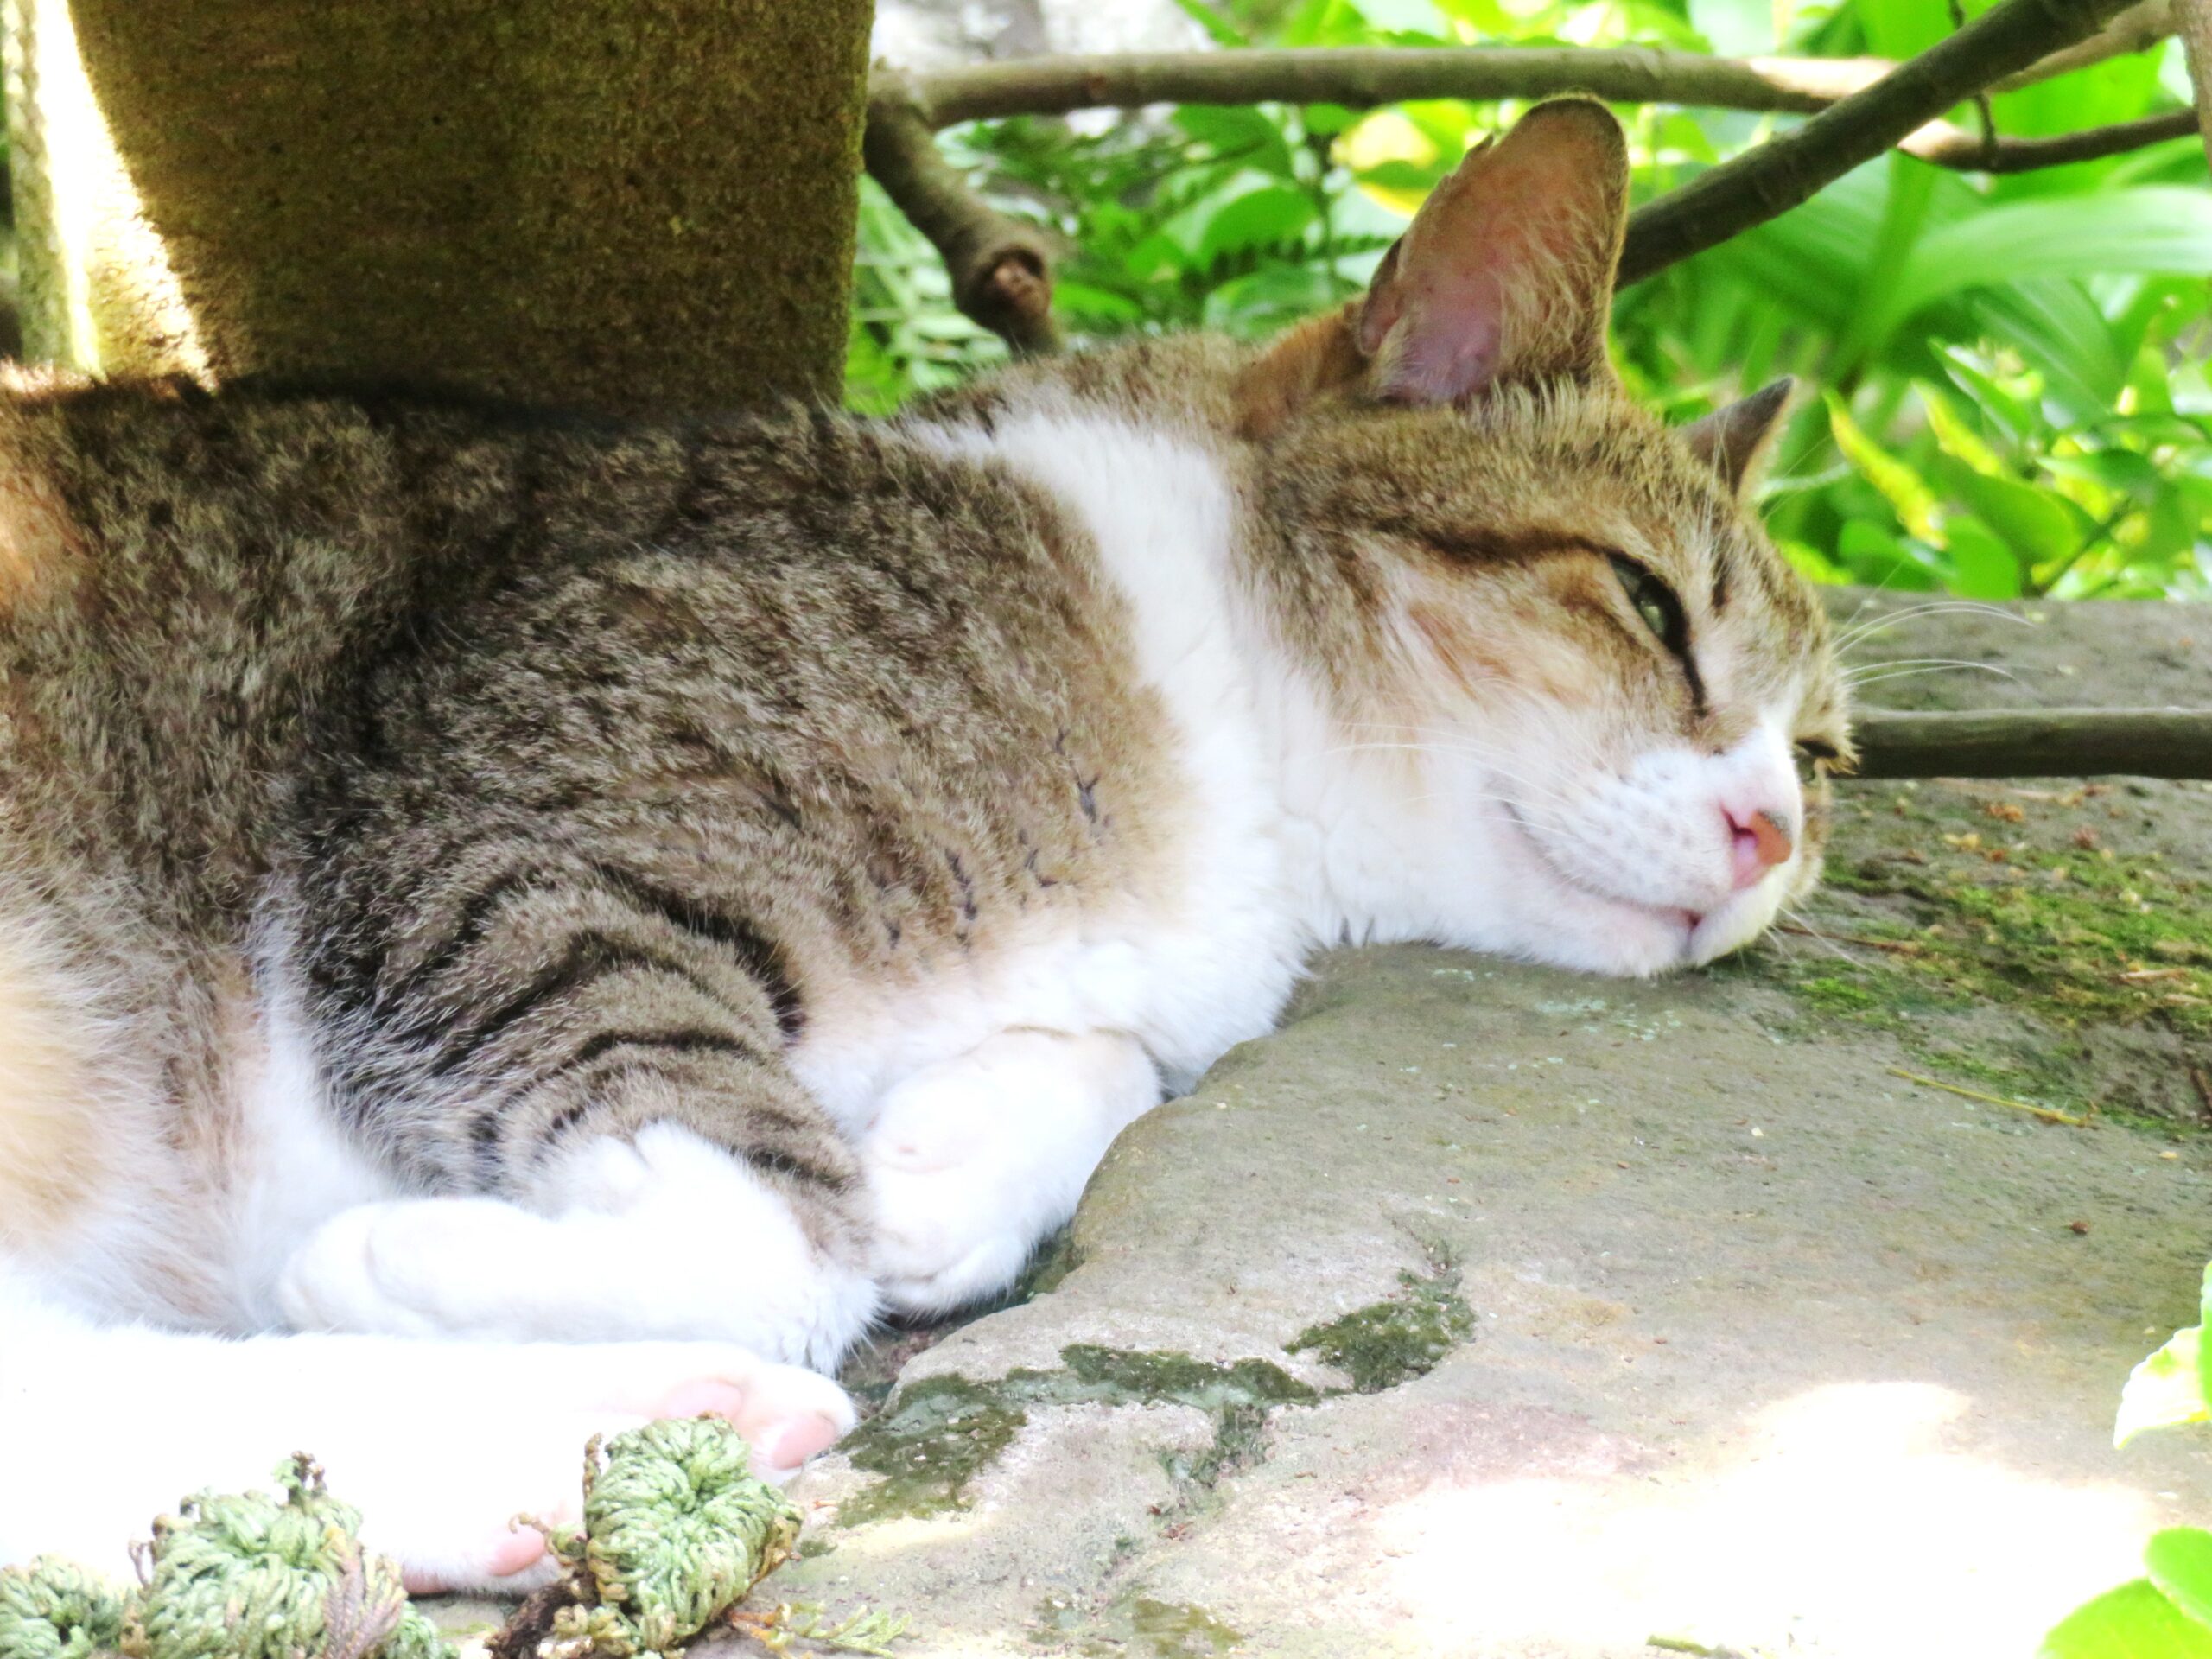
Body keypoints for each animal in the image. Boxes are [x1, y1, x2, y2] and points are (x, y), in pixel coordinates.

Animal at [0, 100, 1849, 1601]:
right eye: (1653, 608)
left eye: (1824, 756)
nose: (1770, 833)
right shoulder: (486, 803)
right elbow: (776, 1225)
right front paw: (395, 1259)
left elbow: (1066, 1088)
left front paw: (953, 1164)